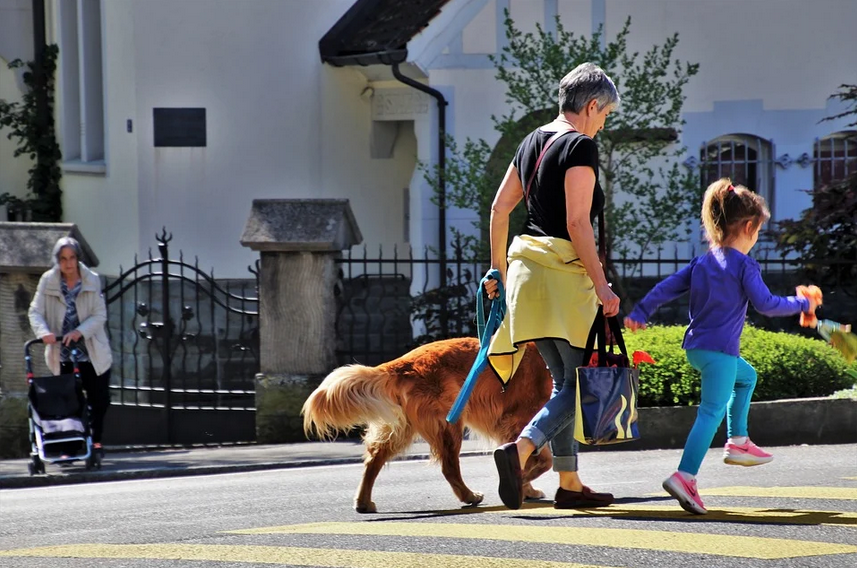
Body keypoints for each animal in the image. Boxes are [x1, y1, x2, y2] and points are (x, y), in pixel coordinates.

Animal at [304, 336, 552, 512]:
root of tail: (402, 363)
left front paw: (525, 488)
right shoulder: (520, 419)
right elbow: (540, 460)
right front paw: (521, 484)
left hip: (402, 428)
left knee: (373, 460)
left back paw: (363, 502)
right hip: (448, 424)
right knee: (449, 467)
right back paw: (469, 496)